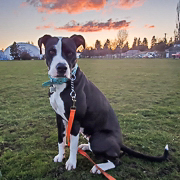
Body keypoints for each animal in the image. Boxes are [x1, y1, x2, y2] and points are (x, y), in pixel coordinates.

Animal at [38, 34, 169, 174]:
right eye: (51, 51)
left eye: (70, 53)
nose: (62, 68)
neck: (62, 85)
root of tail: (119, 143)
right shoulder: (59, 118)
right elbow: (60, 140)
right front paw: (60, 155)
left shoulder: (75, 121)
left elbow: (72, 145)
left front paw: (71, 163)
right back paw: (86, 147)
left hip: (98, 139)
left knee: (117, 159)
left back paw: (99, 167)